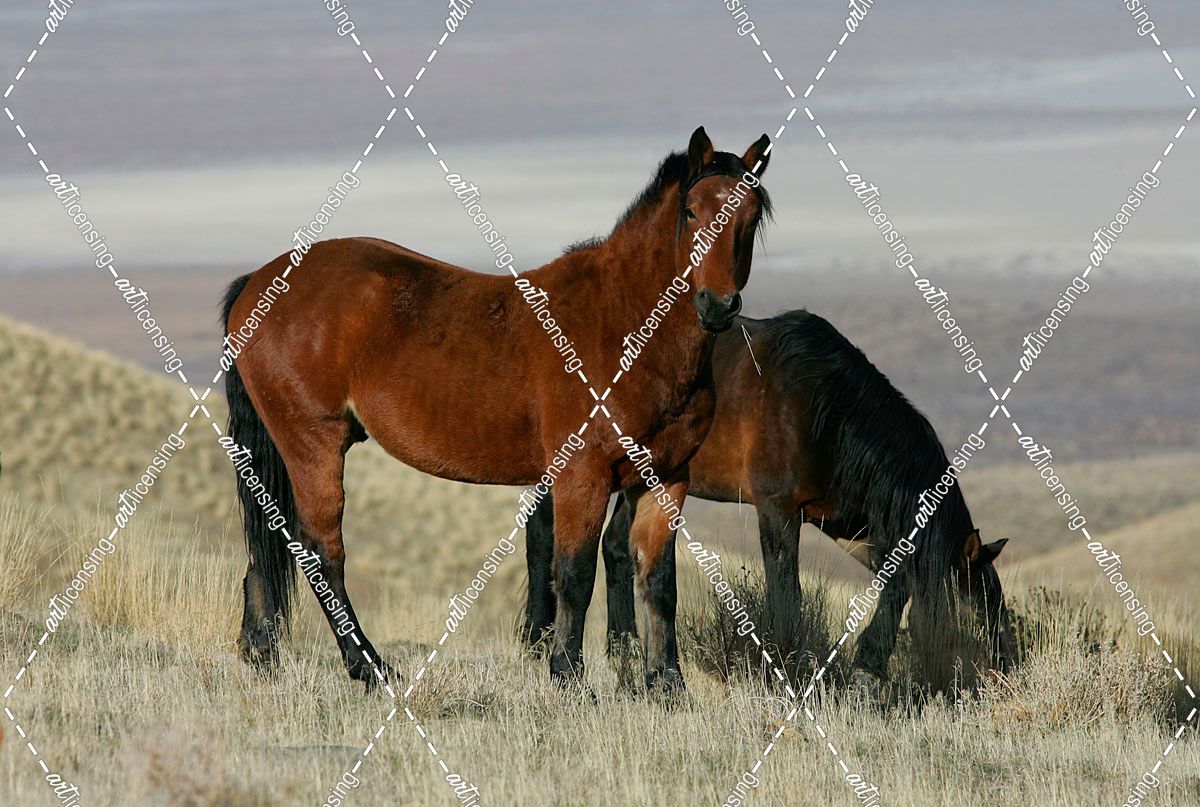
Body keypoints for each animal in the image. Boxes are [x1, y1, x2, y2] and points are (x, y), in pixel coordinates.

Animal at [220, 126, 772, 692]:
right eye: (692, 211)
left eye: (752, 215)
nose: (717, 305)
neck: (622, 323)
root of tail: (258, 285)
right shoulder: (582, 476)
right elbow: (574, 575)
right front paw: (568, 676)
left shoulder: (666, 478)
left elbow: (658, 580)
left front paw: (667, 686)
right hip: (313, 443)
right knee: (320, 550)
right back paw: (368, 665)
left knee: (271, 540)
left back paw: (262, 652)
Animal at [522, 309, 1010, 692]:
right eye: (972, 612)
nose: (1003, 674)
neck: (824, 411)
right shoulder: (778, 509)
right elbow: (786, 593)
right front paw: (792, 667)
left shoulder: (850, 526)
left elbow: (896, 578)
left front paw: (867, 669)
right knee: (544, 535)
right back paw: (536, 642)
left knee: (616, 547)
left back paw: (622, 649)